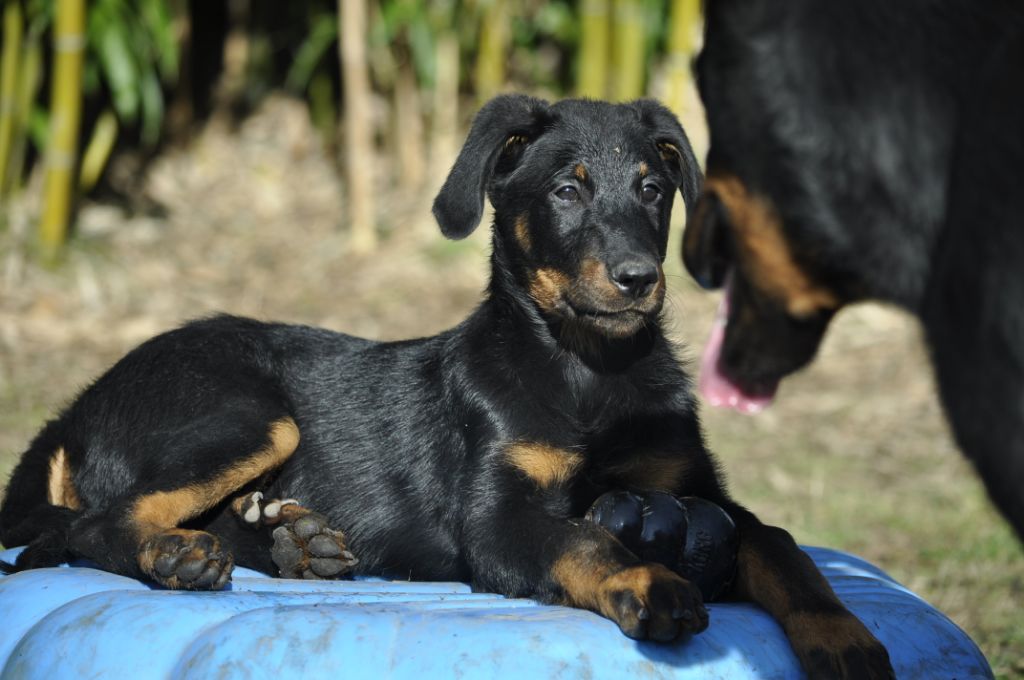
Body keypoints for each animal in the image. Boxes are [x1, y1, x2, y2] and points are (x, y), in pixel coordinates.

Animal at [0, 96, 892, 680]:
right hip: (254, 414)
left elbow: (781, 547)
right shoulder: (495, 519)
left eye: (652, 187)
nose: (639, 279)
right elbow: (585, 538)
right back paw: (179, 555)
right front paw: (648, 582)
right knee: (101, 522)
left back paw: (295, 542)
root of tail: (78, 405)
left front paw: (844, 638)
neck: (588, 371)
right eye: (566, 190)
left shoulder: (700, 493)